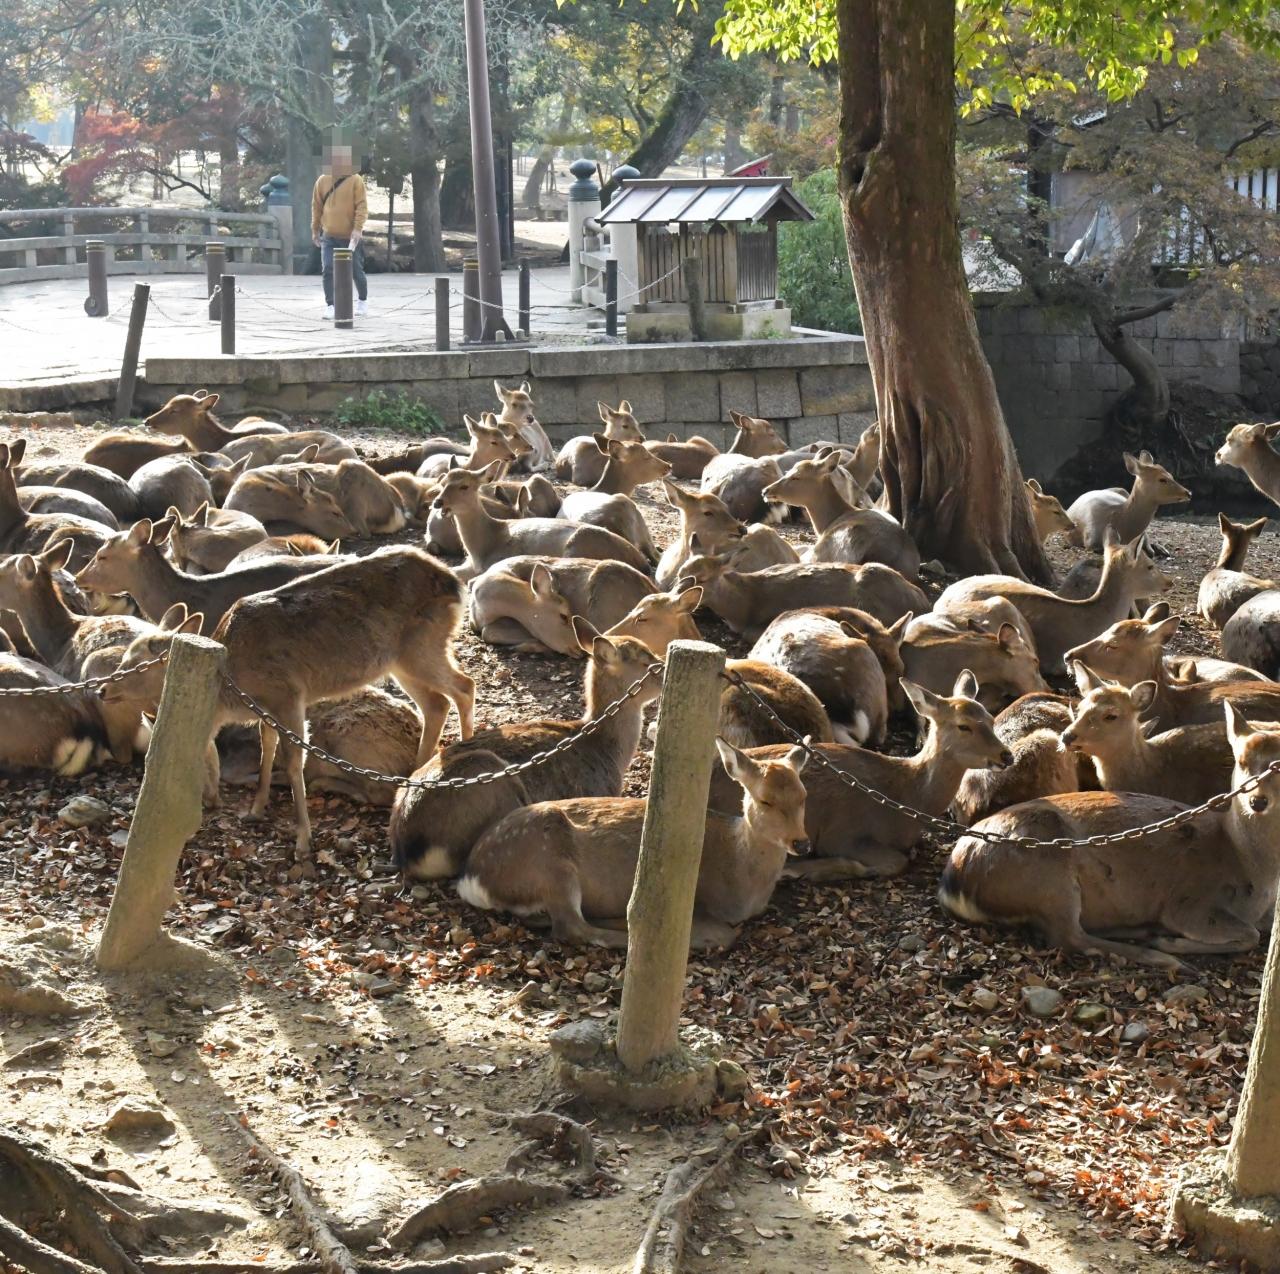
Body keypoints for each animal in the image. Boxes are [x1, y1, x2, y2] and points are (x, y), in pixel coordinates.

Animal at [110, 545, 474, 852]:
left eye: (135, 665)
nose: (103, 690)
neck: (232, 692)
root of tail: (455, 584)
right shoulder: (266, 707)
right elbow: (267, 746)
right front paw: (256, 809)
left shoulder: (287, 694)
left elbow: (293, 758)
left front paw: (302, 839)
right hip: (400, 660)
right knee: (436, 703)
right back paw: (412, 777)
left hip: (422, 647)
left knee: (464, 685)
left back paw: (464, 750)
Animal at [390, 620, 662, 880]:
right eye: (646, 661)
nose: (663, 664)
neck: (610, 752)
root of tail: (407, 852)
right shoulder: (597, 790)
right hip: (491, 780)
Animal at [458, 739, 809, 950]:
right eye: (765, 800)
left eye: (804, 795)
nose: (801, 844)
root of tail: (471, 877)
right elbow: (724, 933)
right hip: (549, 863)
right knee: (573, 928)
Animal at [708, 671, 1012, 882]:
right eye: (964, 726)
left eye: (991, 718)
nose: (1006, 755)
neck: (907, 798)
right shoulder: (843, 833)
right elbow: (894, 862)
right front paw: (802, 871)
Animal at [940, 705, 1280, 970]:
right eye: (1240, 761)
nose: (1257, 801)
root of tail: (954, 879)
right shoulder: (1190, 902)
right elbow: (1250, 935)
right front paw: (1172, 942)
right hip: (1048, 873)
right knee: (1068, 935)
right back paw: (1162, 953)